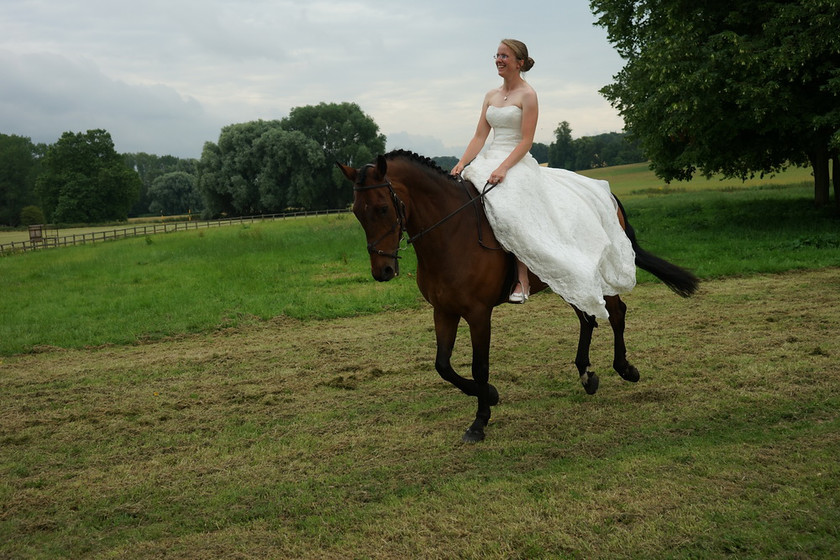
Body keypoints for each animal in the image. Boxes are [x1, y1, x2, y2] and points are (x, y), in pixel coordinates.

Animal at [338, 151, 700, 444]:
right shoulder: (444, 311)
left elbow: (480, 365)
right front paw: (491, 395)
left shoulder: (478, 313)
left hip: (598, 275)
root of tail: (605, 193)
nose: (383, 270)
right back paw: (586, 374)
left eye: (382, 208)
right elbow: (443, 365)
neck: (450, 232)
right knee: (588, 319)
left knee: (616, 313)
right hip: (566, 278)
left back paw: (625, 369)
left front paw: (480, 421)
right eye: (356, 211)